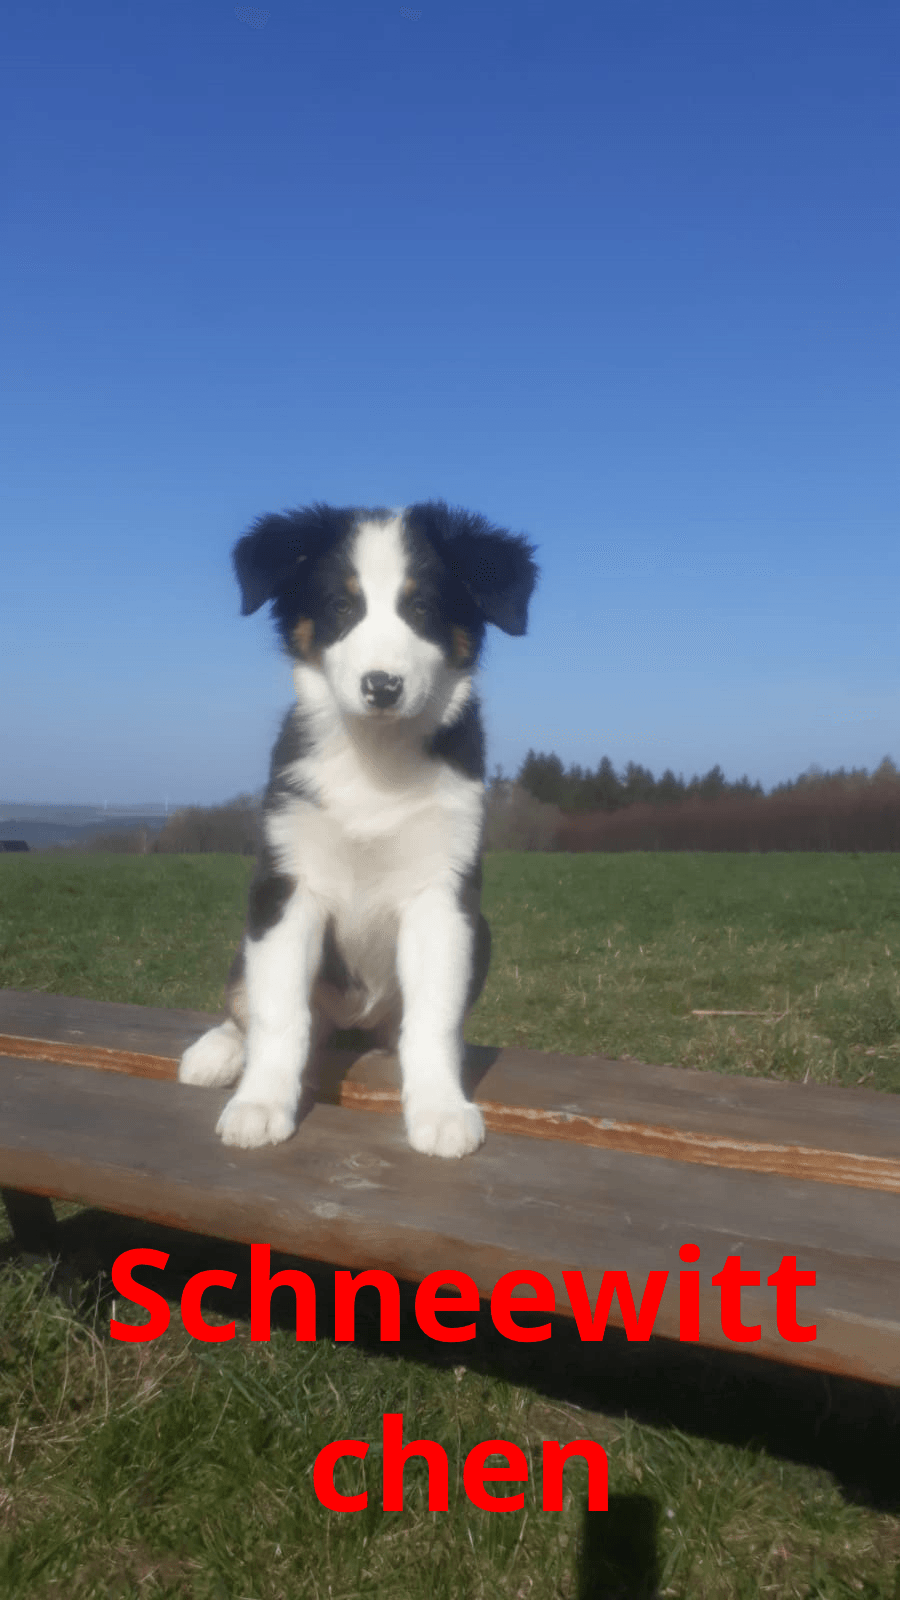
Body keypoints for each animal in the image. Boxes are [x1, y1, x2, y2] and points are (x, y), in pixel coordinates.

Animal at [178, 500, 538, 1157]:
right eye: (341, 608)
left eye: (422, 609)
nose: (382, 686)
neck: (375, 757)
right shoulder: (287, 885)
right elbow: (278, 1013)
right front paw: (260, 1104)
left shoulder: (441, 893)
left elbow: (433, 1018)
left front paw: (441, 1108)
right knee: (247, 1001)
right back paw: (218, 1050)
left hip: (481, 932)